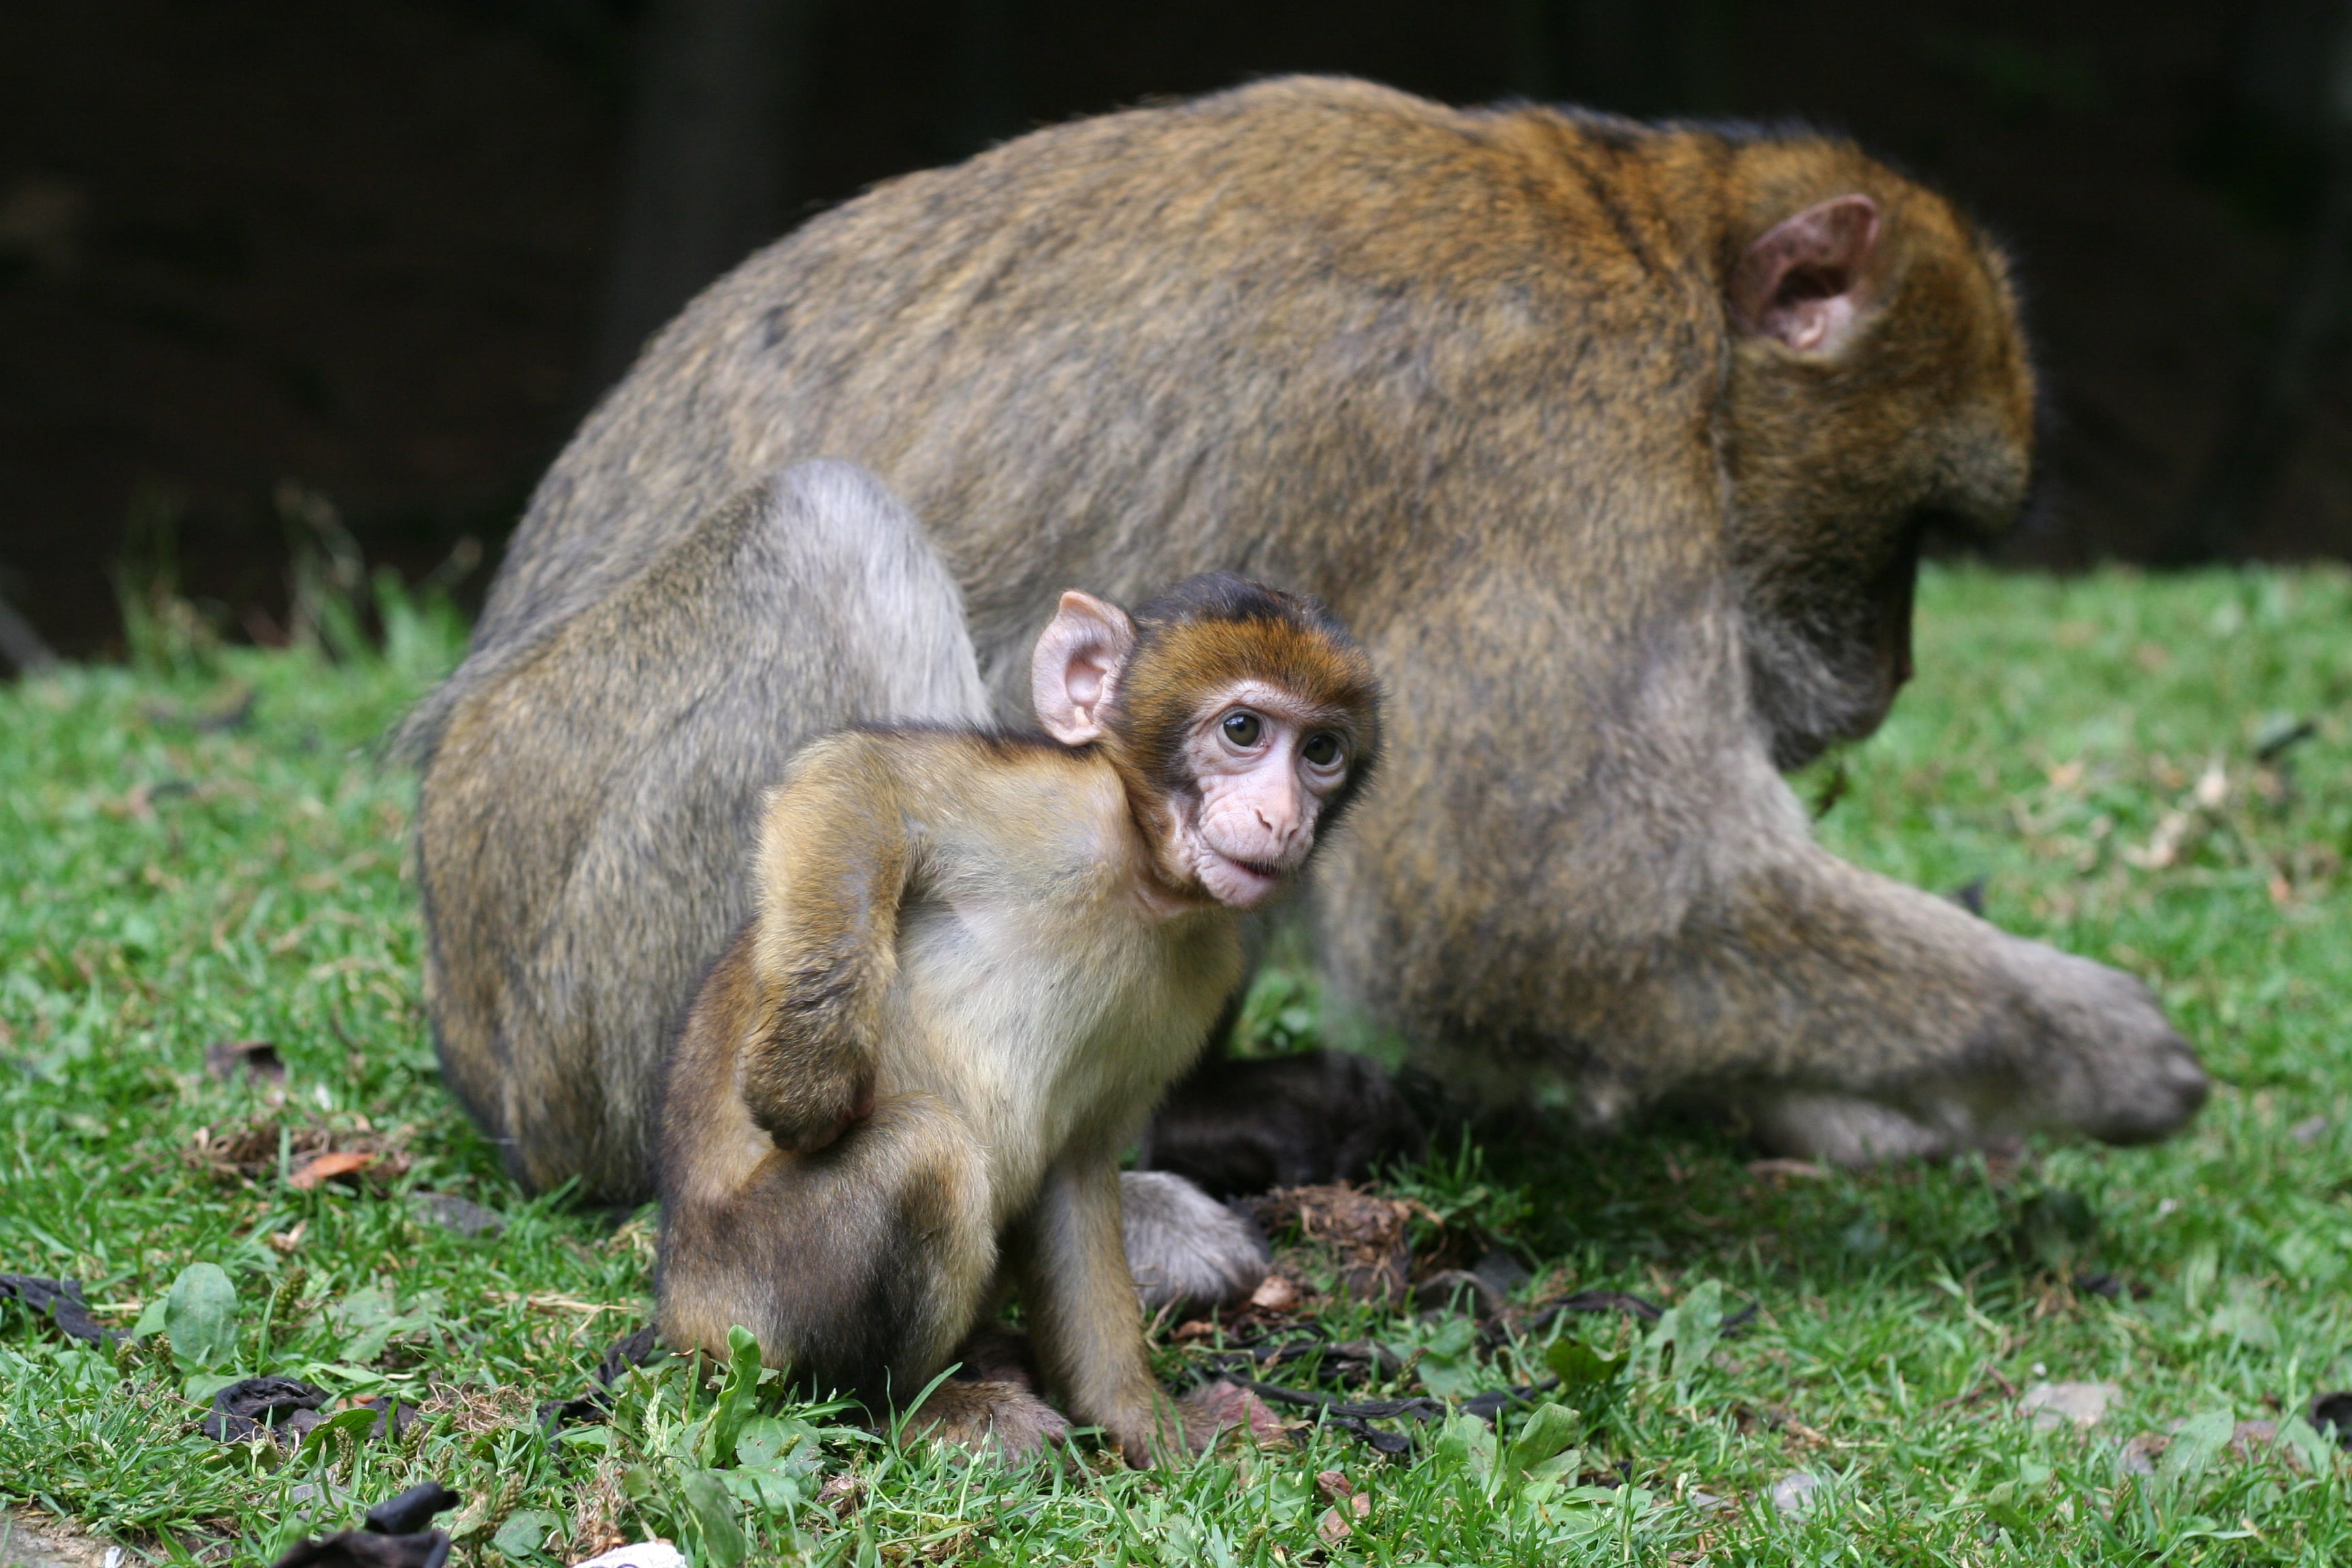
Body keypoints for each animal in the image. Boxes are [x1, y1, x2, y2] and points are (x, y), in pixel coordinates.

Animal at [403, 76, 2207, 1236]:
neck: (1663, 269)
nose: (1885, 678)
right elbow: (1547, 904)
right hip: (566, 951)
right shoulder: (1557, 437)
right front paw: (2080, 1045)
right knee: (826, 539)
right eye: (1915, 530)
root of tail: (471, 1041)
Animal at [654, 571, 1381, 1463]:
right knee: (926, 1153)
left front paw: (1145, 1419)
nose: (1284, 818)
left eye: (1322, 752)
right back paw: (905, 1406)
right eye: (1243, 729)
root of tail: (680, 1296)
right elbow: (857, 775)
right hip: (748, 1297)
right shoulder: (1044, 804)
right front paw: (807, 1069)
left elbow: (1079, 1166)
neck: (1141, 880)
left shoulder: (1206, 967)